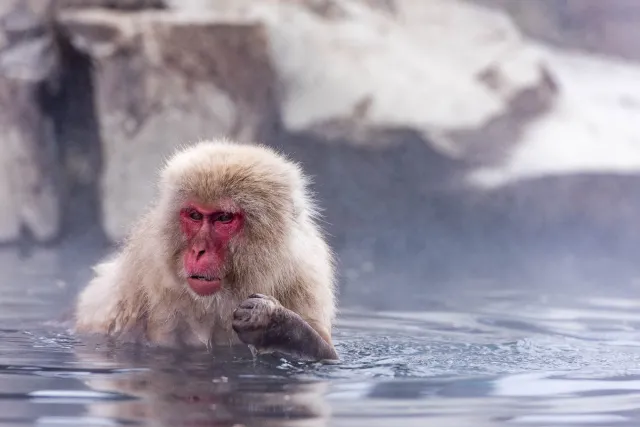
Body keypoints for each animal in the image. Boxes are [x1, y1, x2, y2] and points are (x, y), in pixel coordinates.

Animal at [75, 139, 340, 362]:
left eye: (223, 218)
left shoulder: (306, 274)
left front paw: (272, 322)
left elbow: (328, 355)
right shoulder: (151, 269)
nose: (198, 251)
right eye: (194, 215)